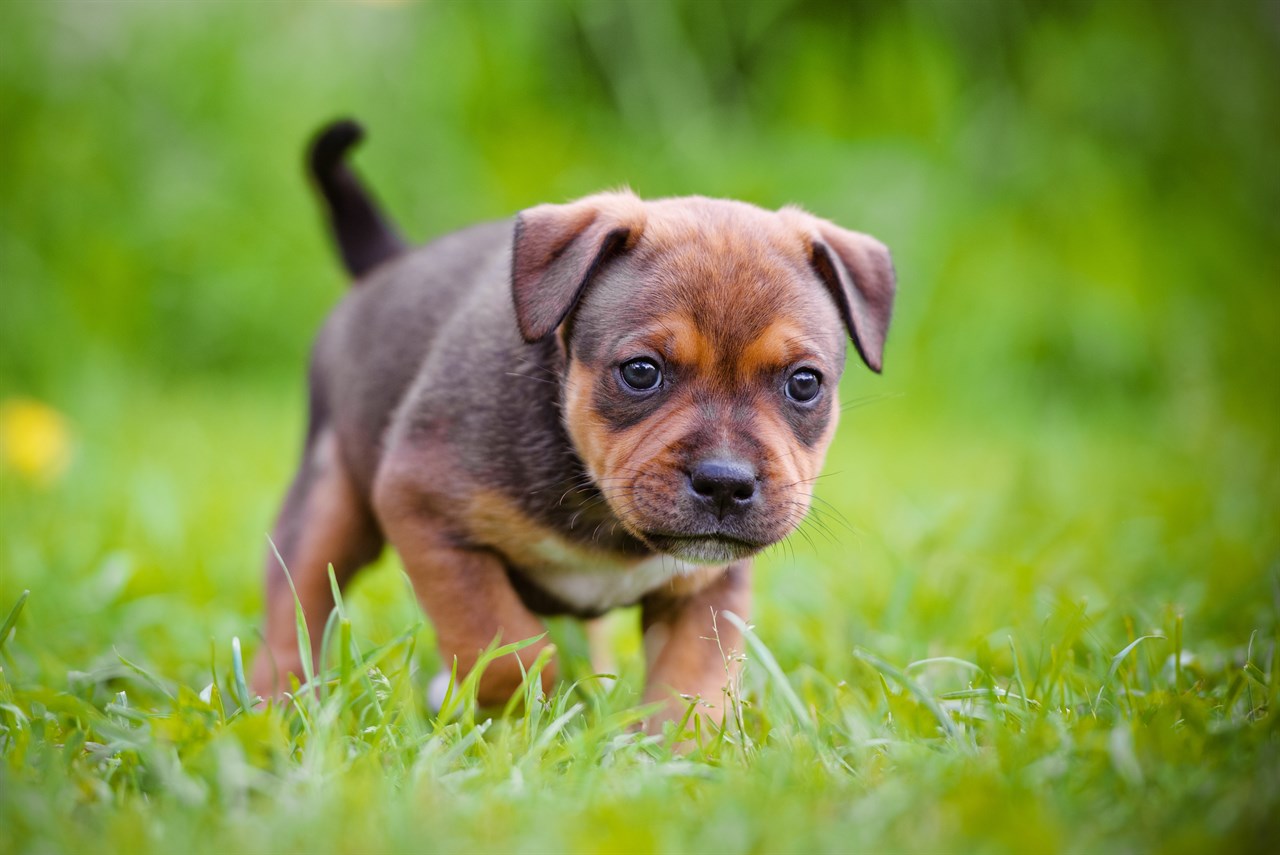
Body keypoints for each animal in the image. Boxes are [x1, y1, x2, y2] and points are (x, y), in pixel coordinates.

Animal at [247, 117, 890, 727]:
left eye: (804, 384)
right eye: (640, 372)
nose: (726, 484)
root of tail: (386, 263)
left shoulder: (708, 588)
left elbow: (692, 684)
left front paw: (676, 750)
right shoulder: (424, 507)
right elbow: (506, 647)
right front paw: (499, 701)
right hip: (327, 506)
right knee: (292, 616)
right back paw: (273, 712)